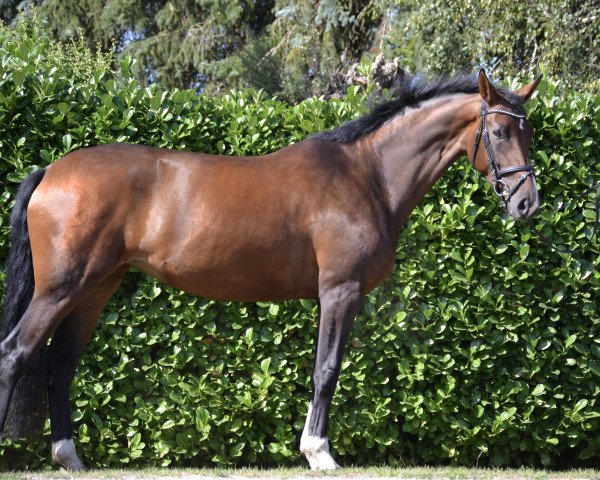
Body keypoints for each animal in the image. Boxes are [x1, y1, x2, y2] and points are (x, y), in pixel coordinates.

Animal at [0, 70, 540, 468]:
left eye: (528, 131)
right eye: (497, 132)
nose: (527, 204)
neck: (367, 175)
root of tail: (50, 171)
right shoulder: (341, 291)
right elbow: (327, 369)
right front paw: (319, 454)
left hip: (94, 289)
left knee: (59, 366)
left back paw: (71, 459)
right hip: (60, 289)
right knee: (16, 354)